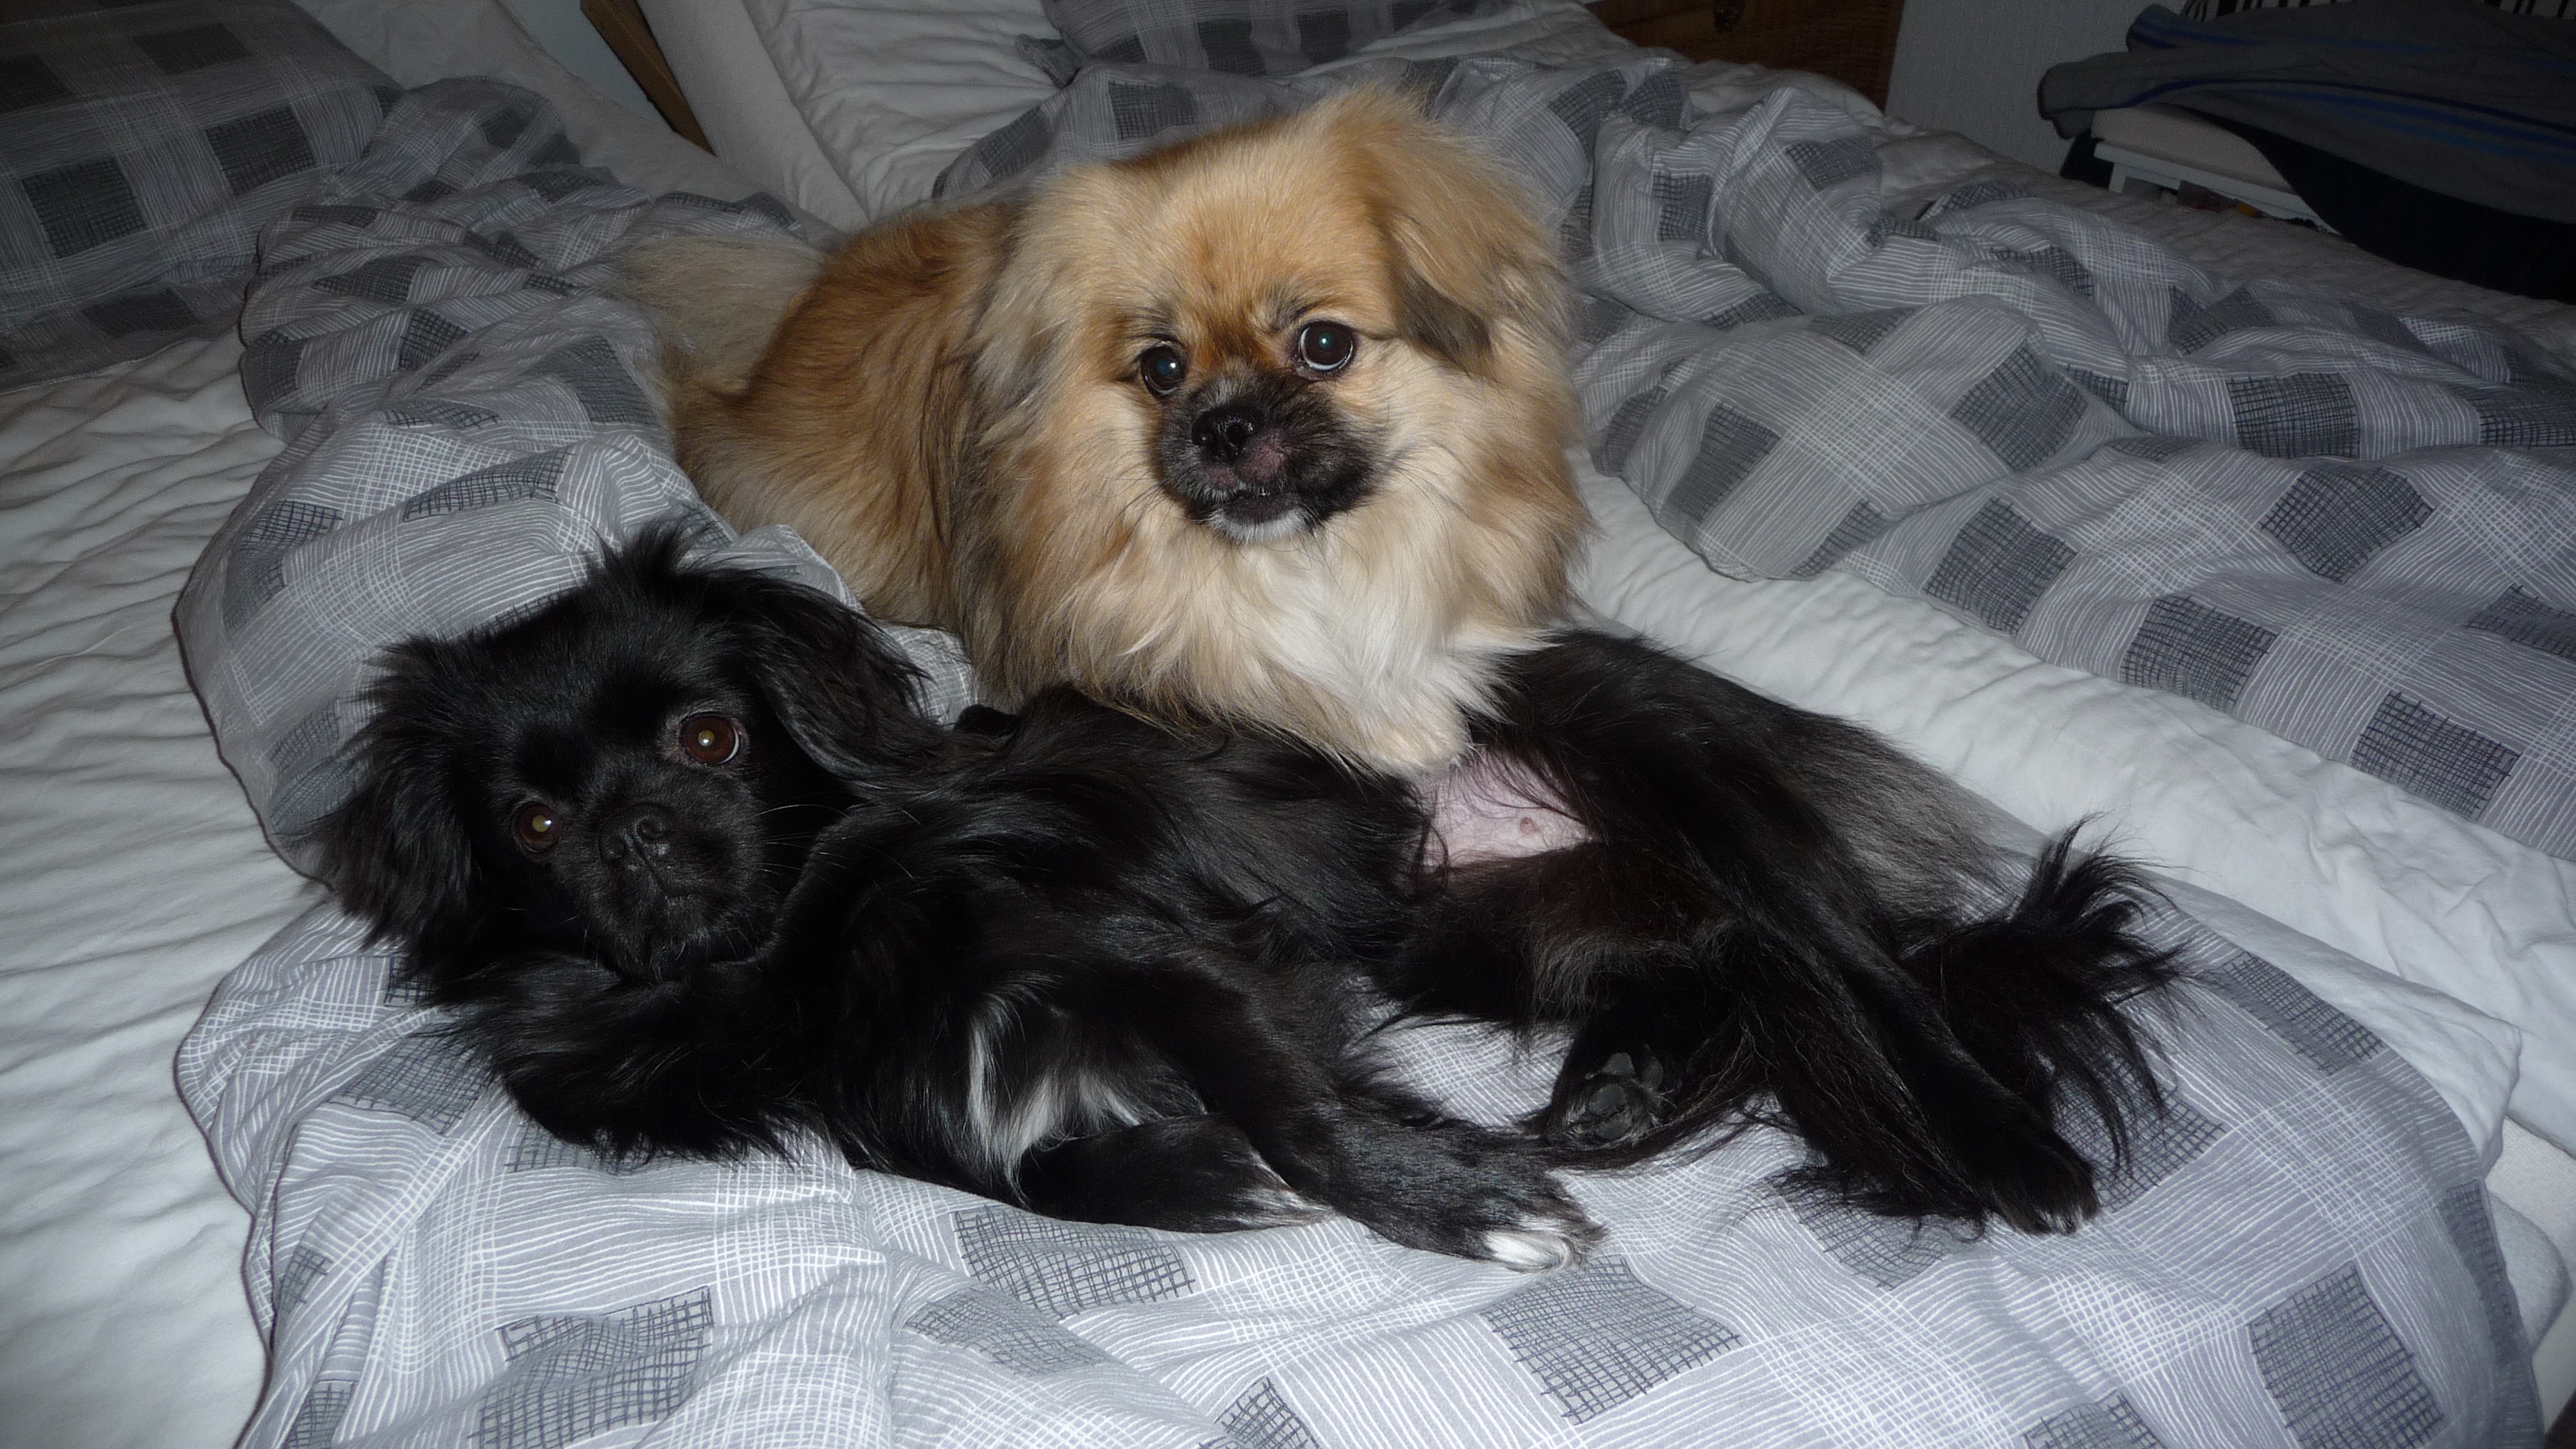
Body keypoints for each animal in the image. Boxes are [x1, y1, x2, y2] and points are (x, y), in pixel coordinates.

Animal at [307, 533, 1601, 1270]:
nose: (633, 827)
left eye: (710, 739)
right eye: (533, 825)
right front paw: (1195, 1174)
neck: (812, 956)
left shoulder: (1166, 961)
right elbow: (1029, 1169)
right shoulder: (891, 1109)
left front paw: (1458, 1200)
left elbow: (1297, 1112)